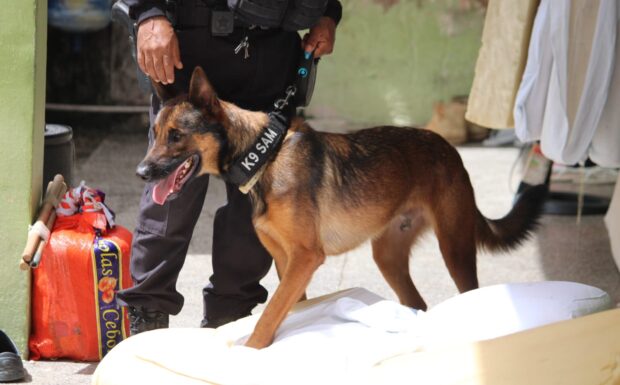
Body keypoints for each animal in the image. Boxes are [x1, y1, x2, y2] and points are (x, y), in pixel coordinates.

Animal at [138, 67, 544, 348]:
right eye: (154, 135)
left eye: (176, 136)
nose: (141, 173)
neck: (264, 157)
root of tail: (449, 148)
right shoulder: (288, 264)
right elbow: (284, 309)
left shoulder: (305, 258)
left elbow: (267, 317)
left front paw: (249, 353)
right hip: (388, 258)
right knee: (416, 302)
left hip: (455, 248)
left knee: (465, 290)